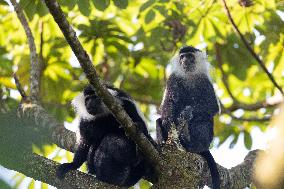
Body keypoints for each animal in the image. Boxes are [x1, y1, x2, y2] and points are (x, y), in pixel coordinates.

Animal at [158, 46, 220, 189]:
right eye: (182, 57)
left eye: (190, 56)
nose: (185, 60)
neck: (189, 76)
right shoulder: (173, 79)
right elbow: (168, 104)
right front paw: (169, 121)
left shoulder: (205, 81)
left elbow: (212, 106)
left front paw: (188, 112)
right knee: (159, 121)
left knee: (203, 122)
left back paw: (189, 141)